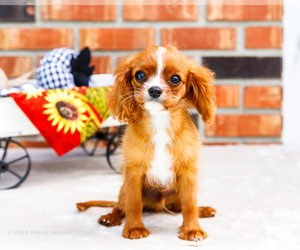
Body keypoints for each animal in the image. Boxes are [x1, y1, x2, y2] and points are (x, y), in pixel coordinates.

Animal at [77, 46, 217, 241]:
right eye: (140, 75)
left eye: (175, 79)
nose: (155, 90)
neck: (159, 121)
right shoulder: (134, 172)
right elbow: (134, 203)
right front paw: (134, 227)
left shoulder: (188, 171)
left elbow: (189, 204)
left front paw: (191, 230)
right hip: (123, 189)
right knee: (119, 206)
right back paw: (110, 217)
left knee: (180, 206)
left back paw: (202, 210)